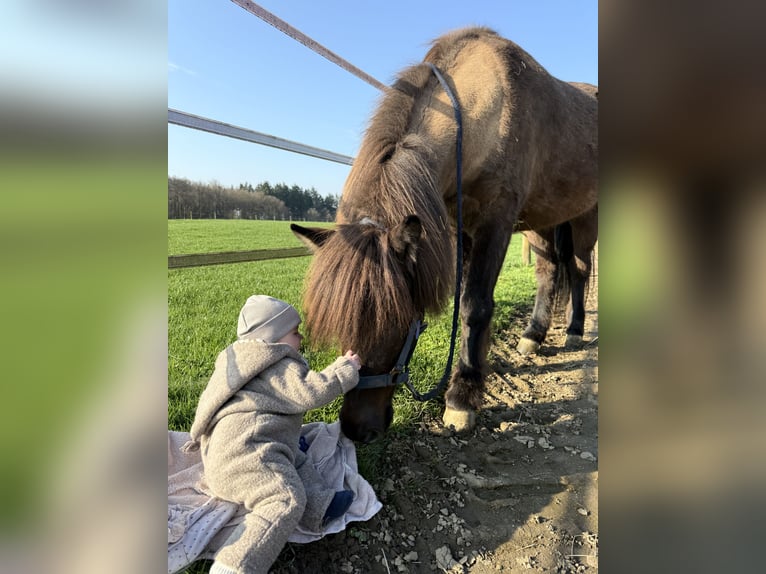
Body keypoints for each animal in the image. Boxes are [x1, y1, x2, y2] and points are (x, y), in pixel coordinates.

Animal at [291, 27, 597, 443]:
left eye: (400, 324)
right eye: (343, 326)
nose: (357, 430)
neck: (490, 108)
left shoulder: (496, 221)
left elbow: (475, 306)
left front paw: (462, 396)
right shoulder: (458, 229)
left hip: (585, 217)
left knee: (579, 271)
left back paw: (575, 330)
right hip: (542, 222)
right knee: (550, 273)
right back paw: (534, 335)